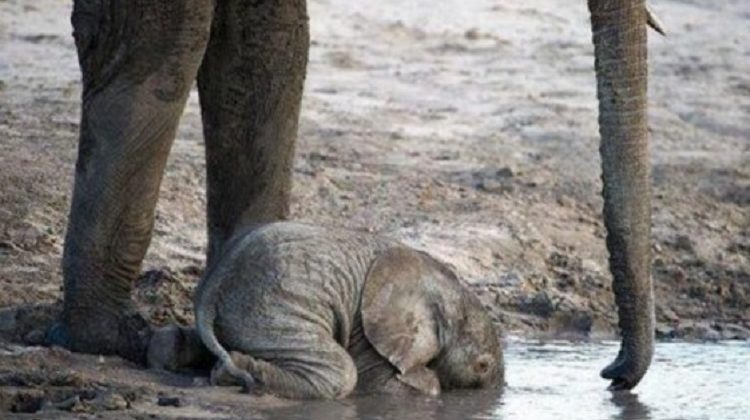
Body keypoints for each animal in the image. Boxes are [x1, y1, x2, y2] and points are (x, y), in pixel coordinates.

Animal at [191, 221, 506, 398]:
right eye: (482, 366)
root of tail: (212, 287)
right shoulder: (369, 329)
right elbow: (384, 385)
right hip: (273, 307)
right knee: (341, 373)